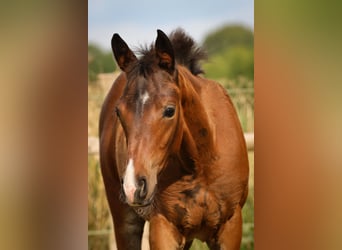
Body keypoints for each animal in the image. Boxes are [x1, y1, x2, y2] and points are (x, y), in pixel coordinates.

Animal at [99, 28, 248, 249]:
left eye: (170, 110)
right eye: (118, 112)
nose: (133, 186)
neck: (200, 164)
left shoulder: (230, 227)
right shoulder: (163, 226)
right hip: (124, 219)